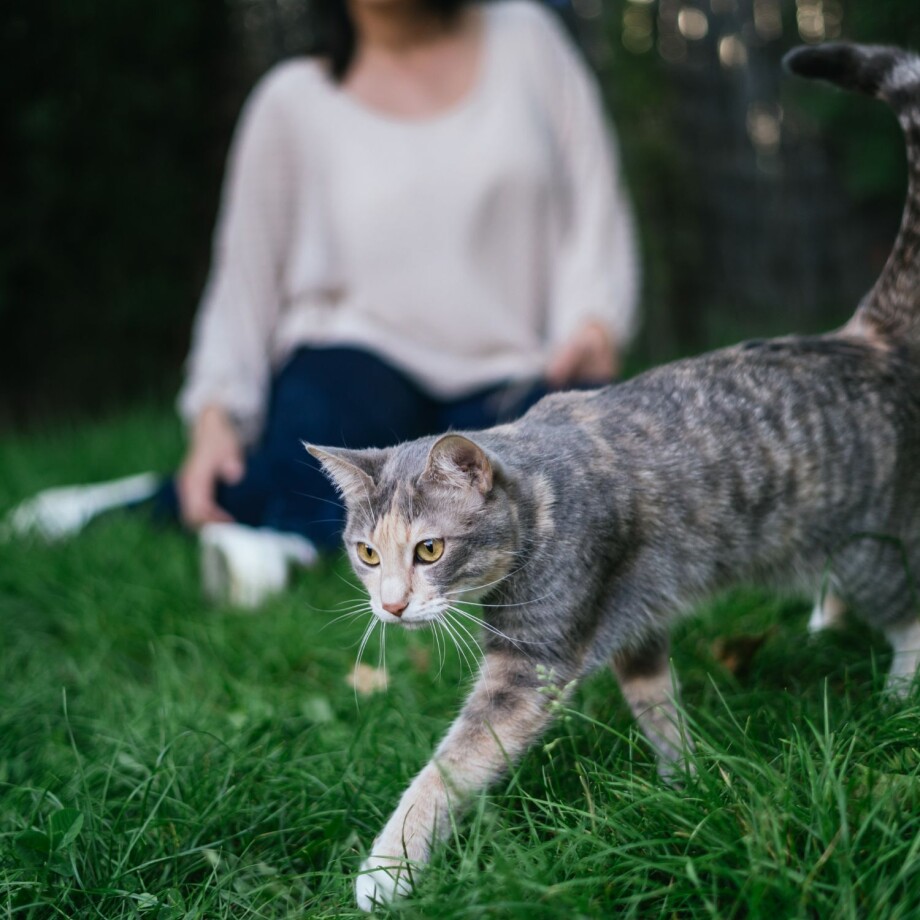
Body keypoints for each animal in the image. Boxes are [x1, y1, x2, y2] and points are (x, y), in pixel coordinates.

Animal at [308, 43, 920, 912]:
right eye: (367, 555)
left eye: (429, 551)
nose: (390, 606)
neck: (537, 503)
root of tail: (860, 336)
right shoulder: (635, 621)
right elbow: (657, 706)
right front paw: (685, 786)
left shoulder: (531, 664)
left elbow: (447, 768)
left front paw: (384, 872)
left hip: (870, 545)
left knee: (910, 619)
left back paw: (898, 700)